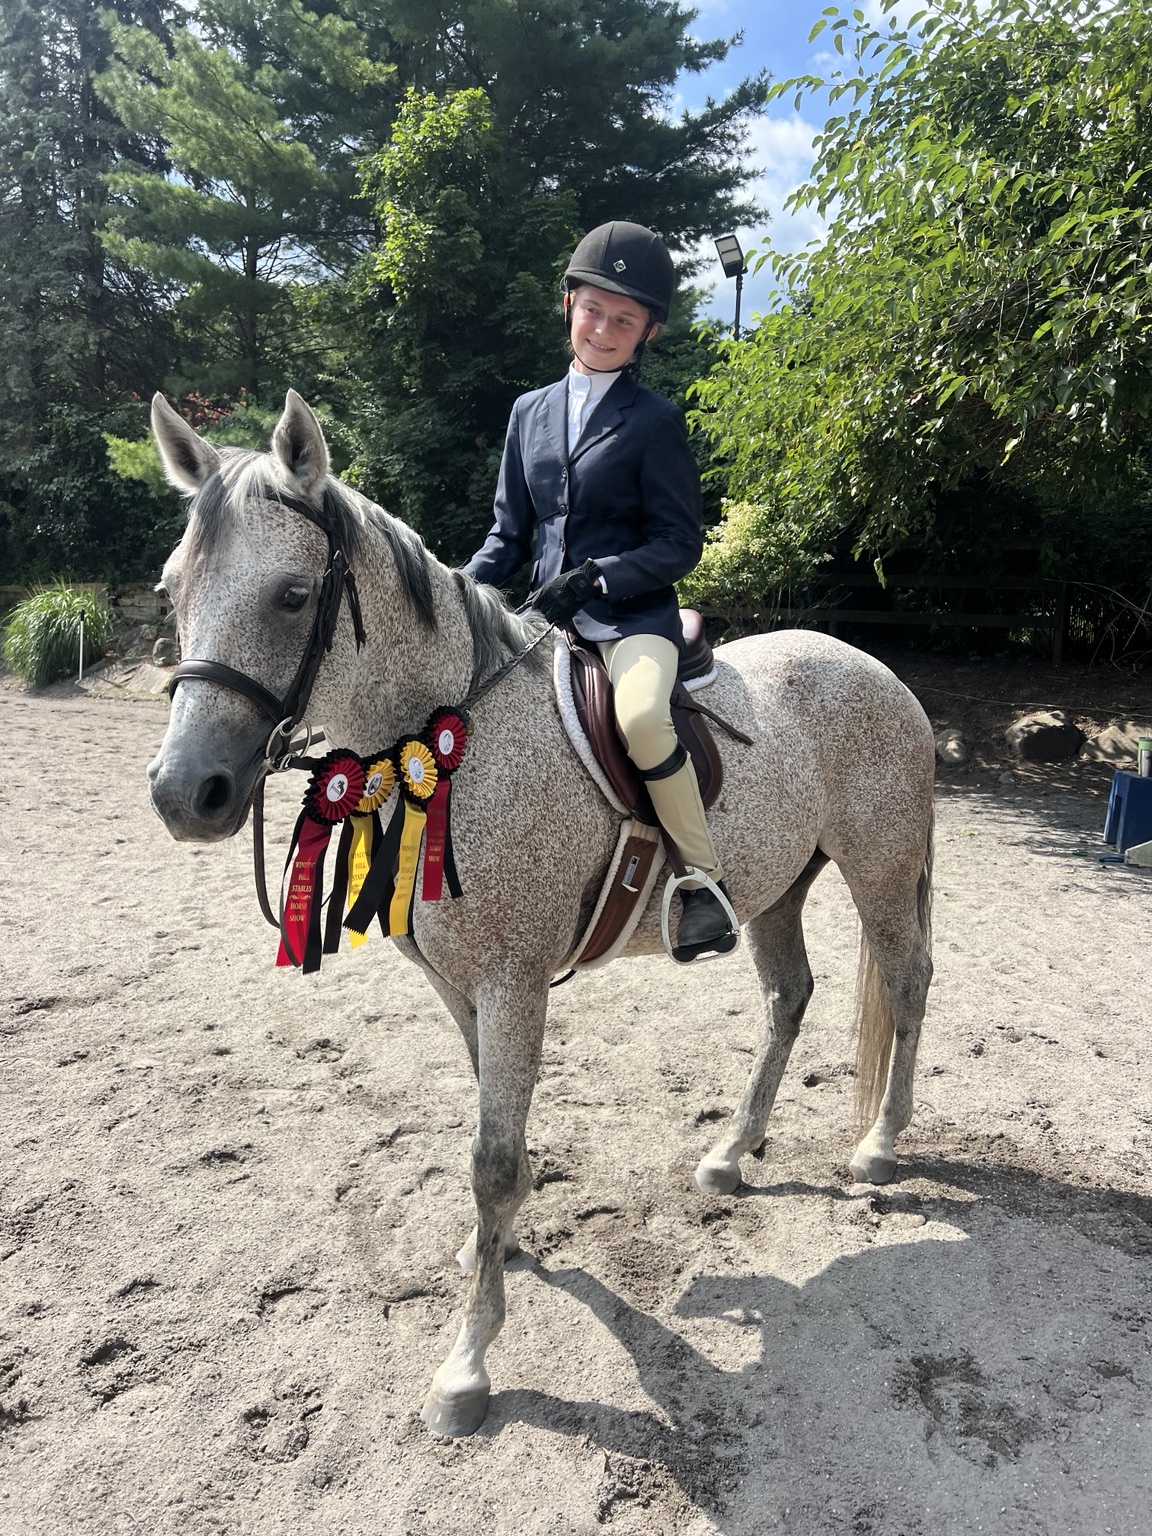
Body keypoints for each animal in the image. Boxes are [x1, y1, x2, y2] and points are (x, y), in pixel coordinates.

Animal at [146, 389, 935, 1439]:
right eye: (172, 590)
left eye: (291, 594)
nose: (184, 793)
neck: (452, 736)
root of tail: (875, 667)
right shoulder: (458, 983)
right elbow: (496, 1126)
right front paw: (503, 1247)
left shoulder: (513, 980)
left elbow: (489, 1156)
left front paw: (467, 1365)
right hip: (776, 887)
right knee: (788, 998)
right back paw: (730, 1154)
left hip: (877, 867)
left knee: (905, 980)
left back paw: (880, 1146)